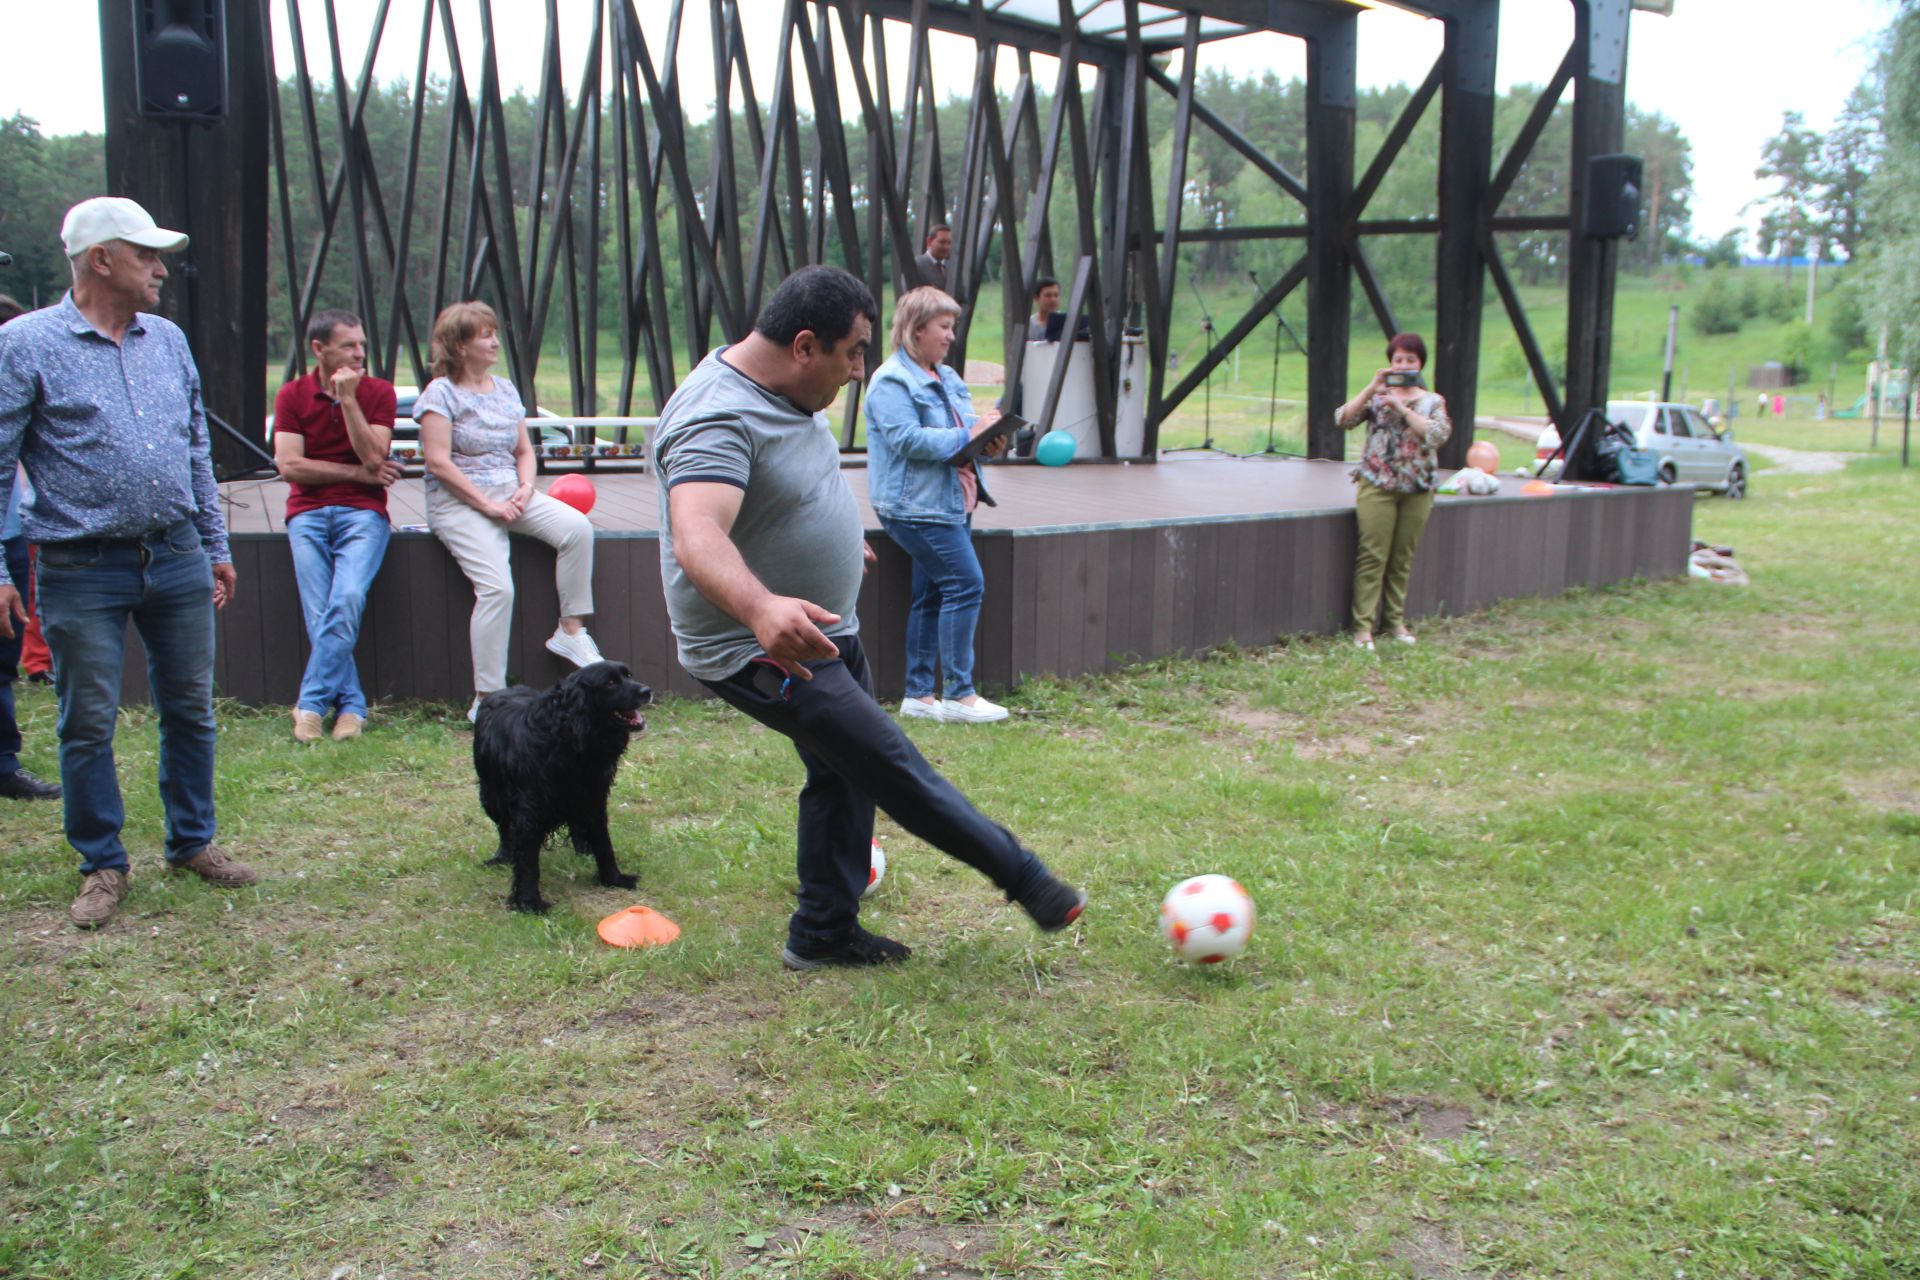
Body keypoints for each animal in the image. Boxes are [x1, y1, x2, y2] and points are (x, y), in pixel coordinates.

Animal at [472, 660, 652, 909]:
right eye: (610, 683)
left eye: (629, 675)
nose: (647, 691)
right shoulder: (529, 811)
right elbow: (527, 859)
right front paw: (529, 901)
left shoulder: (592, 796)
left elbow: (603, 841)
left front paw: (613, 878)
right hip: (491, 793)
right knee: (504, 828)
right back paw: (502, 857)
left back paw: (584, 849)